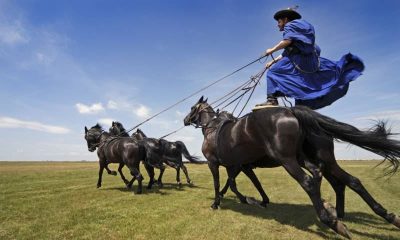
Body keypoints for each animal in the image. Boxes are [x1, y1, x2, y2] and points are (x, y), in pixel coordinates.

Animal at [184, 96, 400, 238]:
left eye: (192, 107)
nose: (185, 119)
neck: (213, 129)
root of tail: (291, 111)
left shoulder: (219, 164)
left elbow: (222, 183)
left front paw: (220, 202)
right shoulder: (237, 166)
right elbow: (236, 183)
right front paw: (256, 200)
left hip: (288, 160)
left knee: (310, 182)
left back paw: (332, 220)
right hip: (317, 160)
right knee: (345, 180)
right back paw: (379, 215)